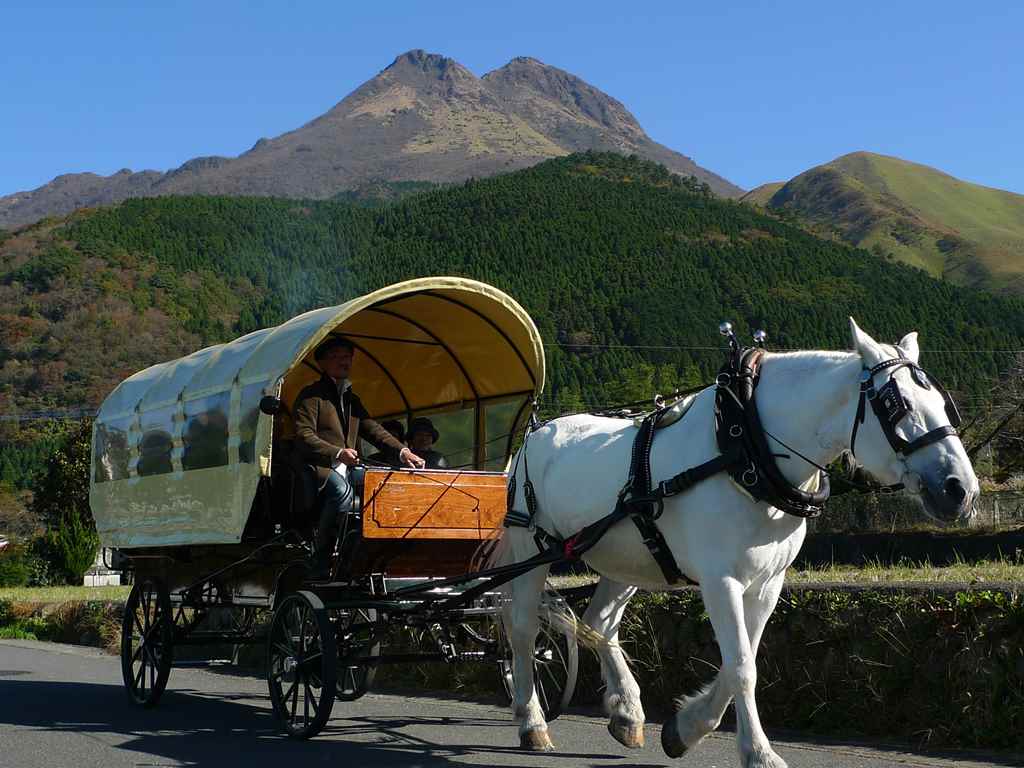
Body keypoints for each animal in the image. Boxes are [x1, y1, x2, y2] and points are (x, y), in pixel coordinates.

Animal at [499, 321, 978, 768]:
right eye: (896, 405)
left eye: (944, 404)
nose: (960, 490)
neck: (745, 446)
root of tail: (537, 431)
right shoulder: (720, 579)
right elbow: (743, 666)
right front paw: (759, 752)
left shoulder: (767, 582)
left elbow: (742, 660)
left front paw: (685, 729)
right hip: (530, 549)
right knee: (523, 628)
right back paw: (532, 722)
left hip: (630, 556)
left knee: (599, 622)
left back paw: (627, 711)